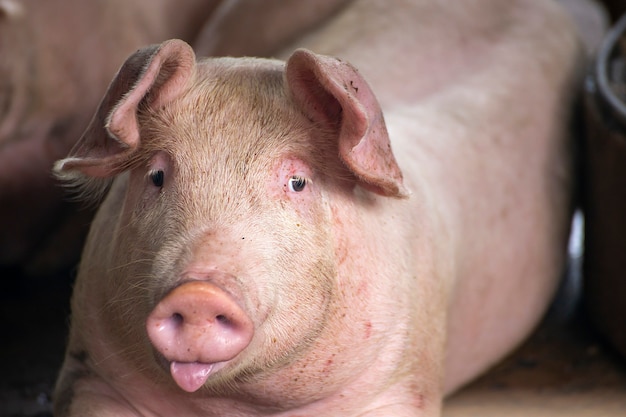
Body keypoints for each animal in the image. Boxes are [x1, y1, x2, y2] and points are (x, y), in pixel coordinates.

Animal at [52, 0, 584, 416]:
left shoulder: (400, 380)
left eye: (298, 181)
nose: (199, 292)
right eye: (158, 175)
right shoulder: (92, 370)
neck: (236, 406)